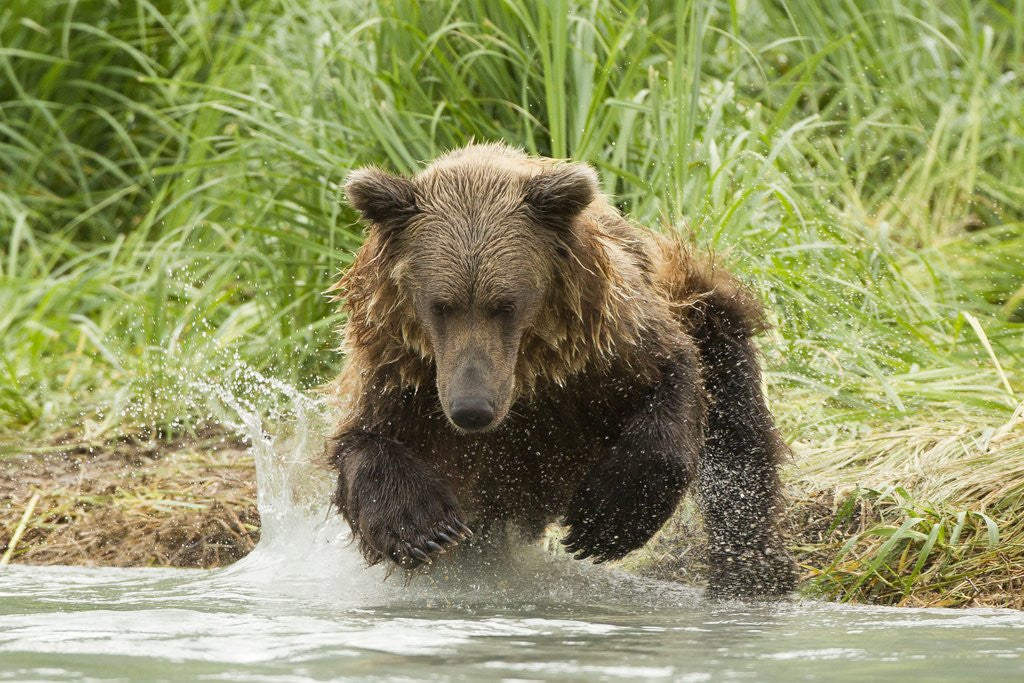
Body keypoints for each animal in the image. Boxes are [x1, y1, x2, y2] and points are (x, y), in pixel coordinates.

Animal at [326, 142, 796, 598]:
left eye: (505, 305)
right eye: (441, 306)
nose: (471, 409)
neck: (529, 373)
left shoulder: (609, 342)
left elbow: (670, 386)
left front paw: (603, 522)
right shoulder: (402, 375)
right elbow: (365, 442)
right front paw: (425, 529)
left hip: (702, 306)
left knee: (738, 440)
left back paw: (753, 573)